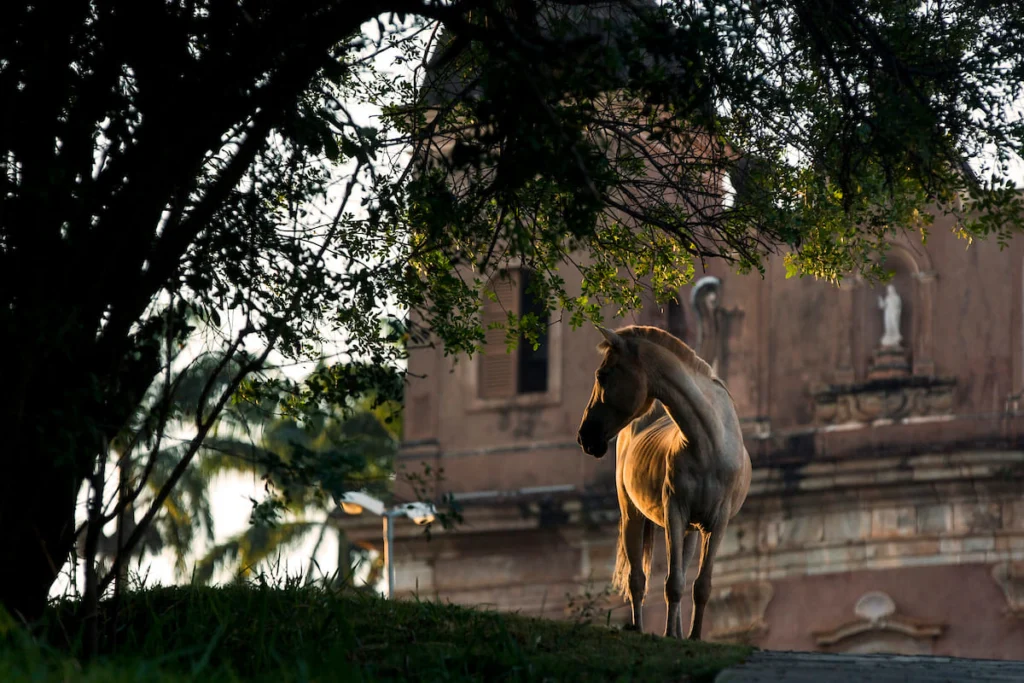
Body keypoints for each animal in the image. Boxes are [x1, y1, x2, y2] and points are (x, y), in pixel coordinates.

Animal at [576, 324, 751, 639]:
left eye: (602, 375)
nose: (585, 437)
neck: (709, 445)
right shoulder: (674, 513)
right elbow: (673, 583)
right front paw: (671, 636)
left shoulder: (717, 523)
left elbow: (701, 585)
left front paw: (693, 637)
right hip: (632, 516)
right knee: (637, 580)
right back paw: (639, 628)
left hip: (692, 530)